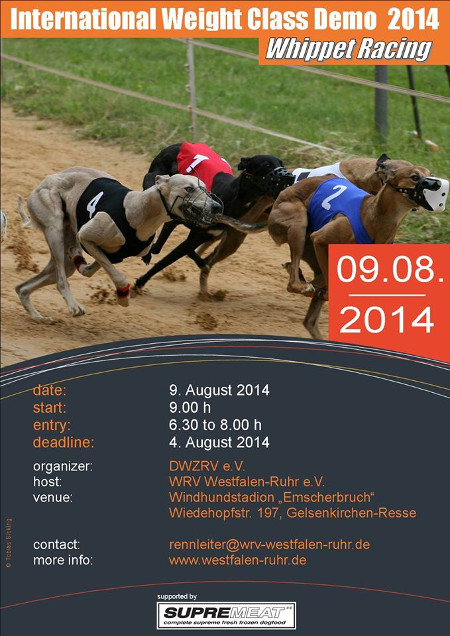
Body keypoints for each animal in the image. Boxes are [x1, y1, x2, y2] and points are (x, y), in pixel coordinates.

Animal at [15, 167, 223, 323]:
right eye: (189, 188)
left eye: (206, 188)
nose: (217, 207)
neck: (139, 211)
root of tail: (47, 179)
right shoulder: (86, 236)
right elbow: (118, 277)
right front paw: (123, 297)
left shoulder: (112, 254)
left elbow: (91, 269)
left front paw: (79, 258)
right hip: (54, 228)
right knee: (60, 280)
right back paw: (73, 306)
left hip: (64, 257)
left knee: (24, 287)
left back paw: (38, 316)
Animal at [135, 142, 292, 296]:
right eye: (267, 165)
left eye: (282, 164)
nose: (290, 177)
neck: (231, 196)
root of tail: (177, 144)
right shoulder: (180, 221)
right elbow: (164, 258)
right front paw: (140, 282)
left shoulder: (203, 235)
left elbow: (183, 252)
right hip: (152, 178)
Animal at [268, 164, 449, 339]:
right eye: (415, 177)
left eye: (430, 174)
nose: (438, 185)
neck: (373, 217)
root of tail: (288, 188)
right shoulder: (319, 239)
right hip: (299, 223)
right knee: (293, 284)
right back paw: (302, 283)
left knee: (310, 318)